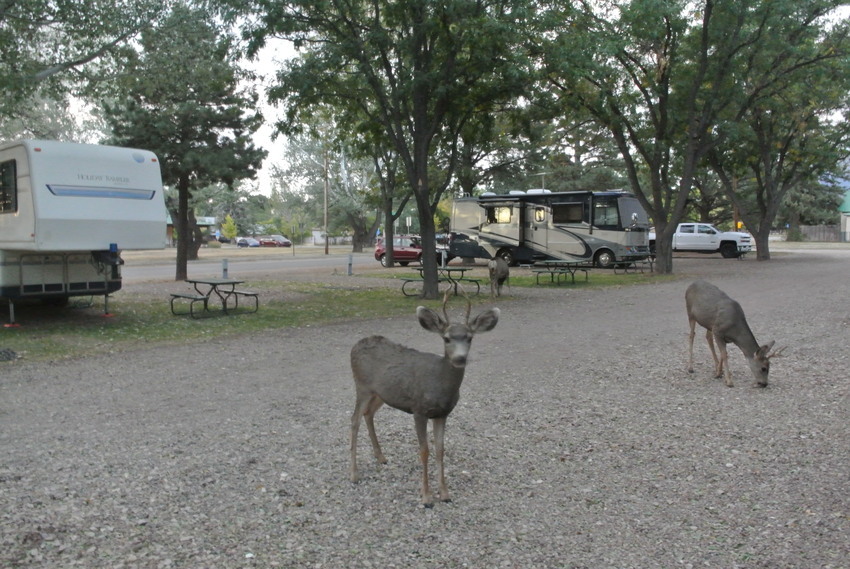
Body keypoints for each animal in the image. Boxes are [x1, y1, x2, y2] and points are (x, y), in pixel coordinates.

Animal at [350, 290, 500, 504]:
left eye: (470, 338)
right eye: (446, 338)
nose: (460, 358)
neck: (439, 385)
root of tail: (356, 345)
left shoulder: (442, 413)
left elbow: (440, 449)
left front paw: (445, 494)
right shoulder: (418, 410)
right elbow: (424, 450)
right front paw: (427, 497)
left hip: (380, 393)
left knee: (368, 414)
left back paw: (381, 457)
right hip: (361, 386)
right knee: (354, 420)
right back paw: (354, 474)